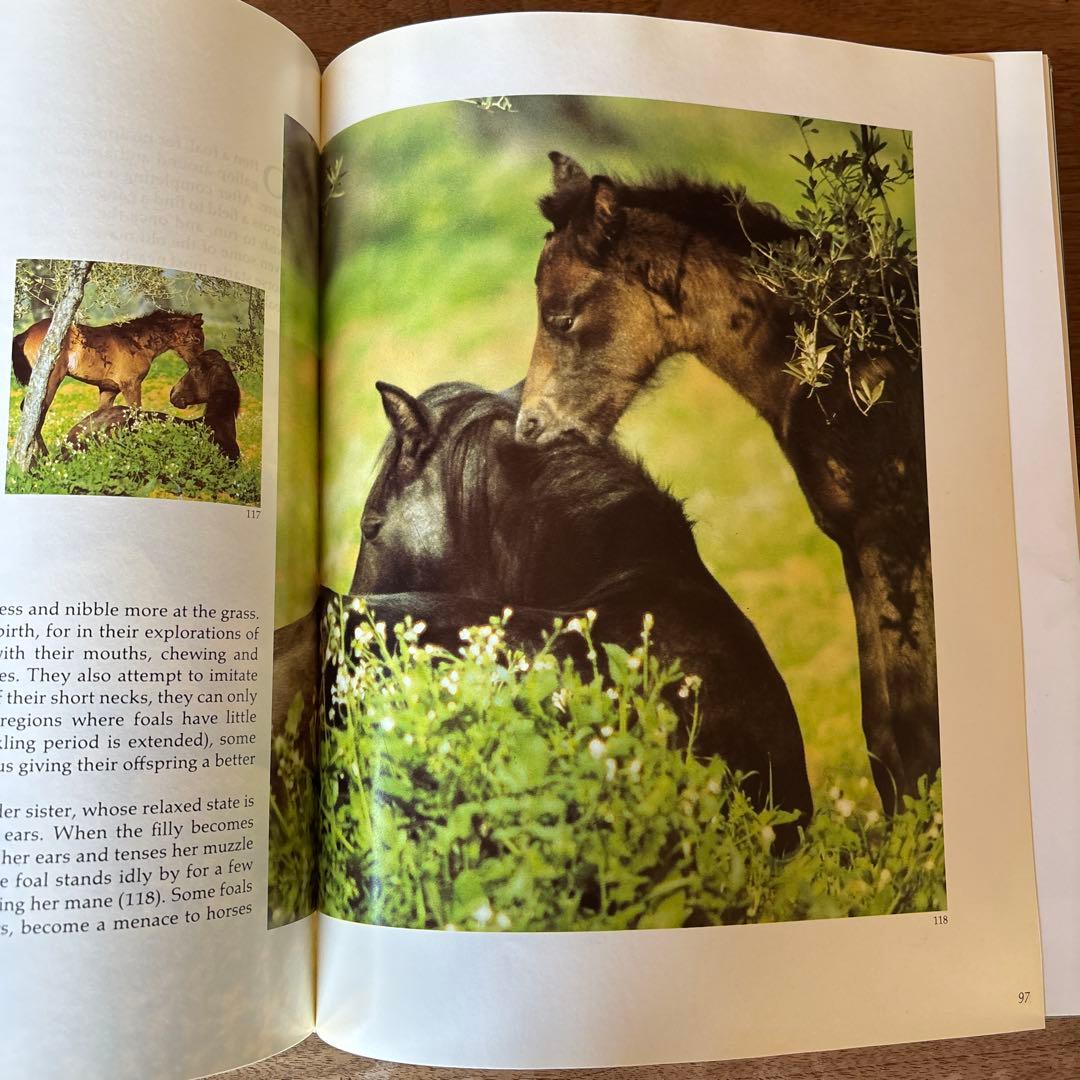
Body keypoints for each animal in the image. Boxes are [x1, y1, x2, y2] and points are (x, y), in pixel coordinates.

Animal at [11, 309, 205, 431]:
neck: (136, 343)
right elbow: (136, 414)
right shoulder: (131, 385)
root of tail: (27, 333)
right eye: (197, 338)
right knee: (36, 412)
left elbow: (100, 416)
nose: (198, 364)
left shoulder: (108, 389)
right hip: (51, 380)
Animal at [516, 151, 937, 815]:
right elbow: (883, 731)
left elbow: (914, 727)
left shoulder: (892, 534)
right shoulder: (854, 541)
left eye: (563, 316)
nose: (529, 427)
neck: (838, 364)